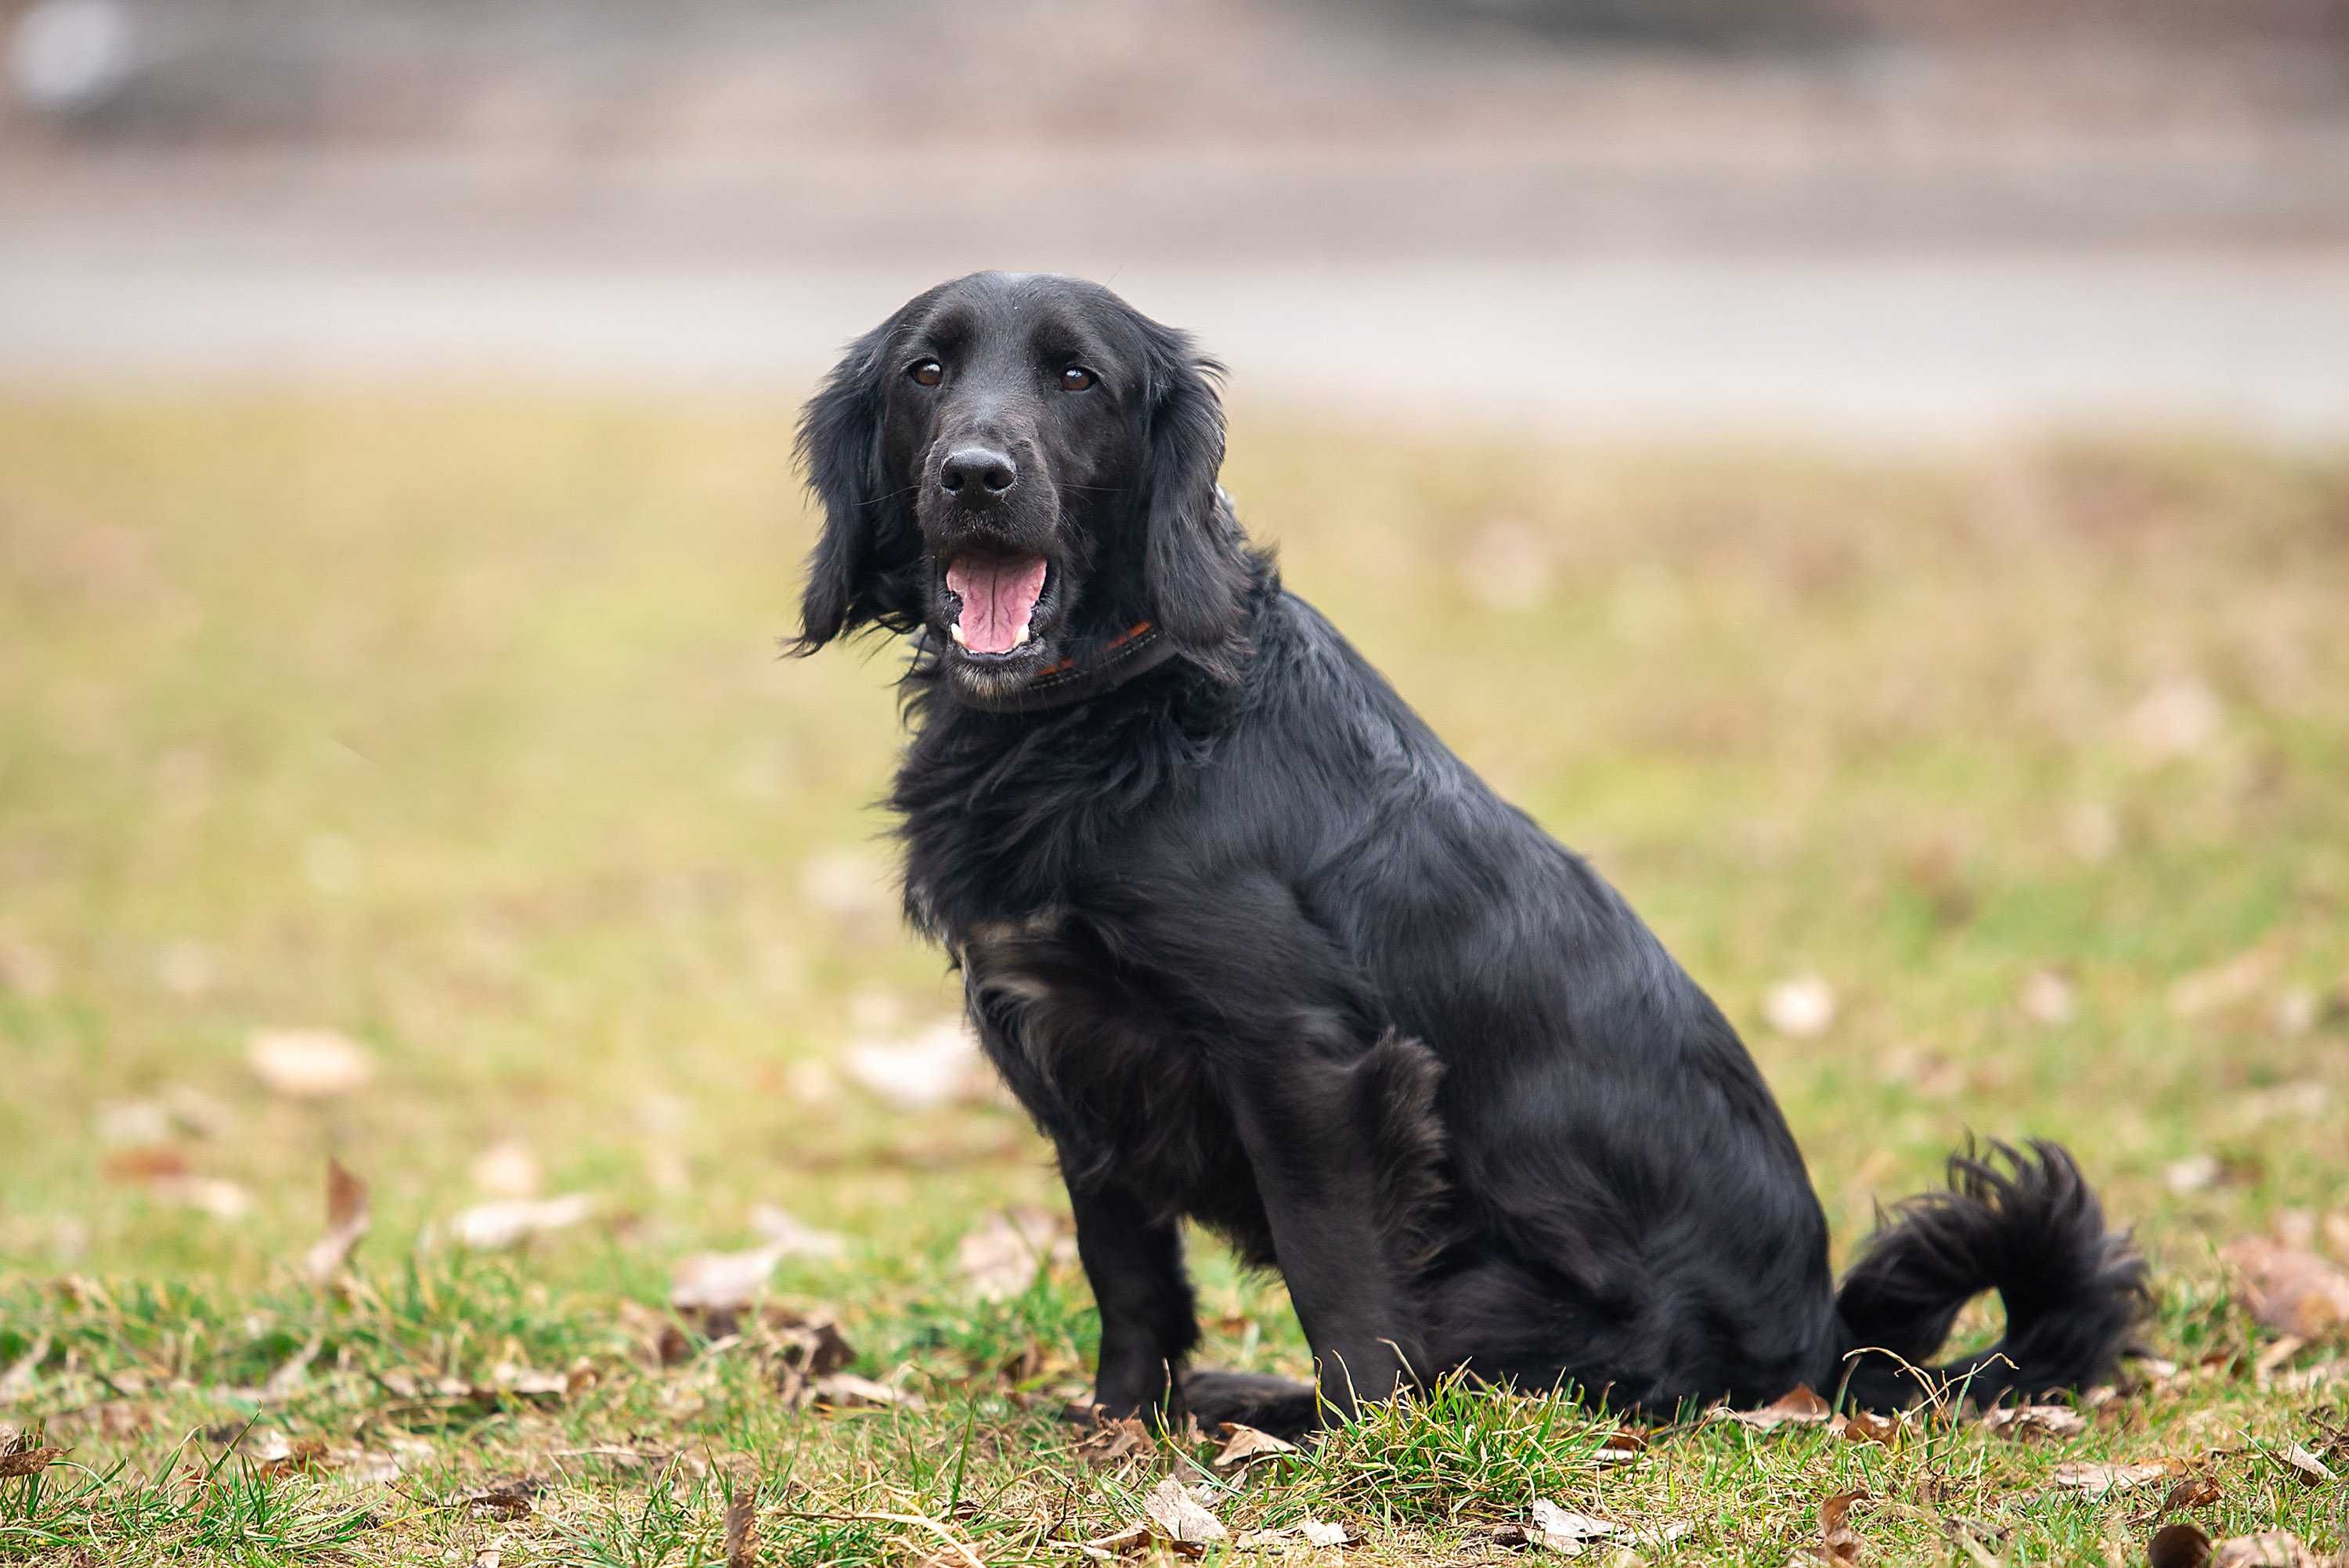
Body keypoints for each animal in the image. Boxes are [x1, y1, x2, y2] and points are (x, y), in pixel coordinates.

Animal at [789, 272, 2152, 1436]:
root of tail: (1823, 1354)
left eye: (1077, 377)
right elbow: (1126, 1273)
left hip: (1487, 1293)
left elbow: (1344, 1290)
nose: (975, 473)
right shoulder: (1074, 1059)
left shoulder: (1304, 1060)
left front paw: (1356, 1456)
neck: (1100, 718)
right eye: (925, 371)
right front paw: (1124, 1420)